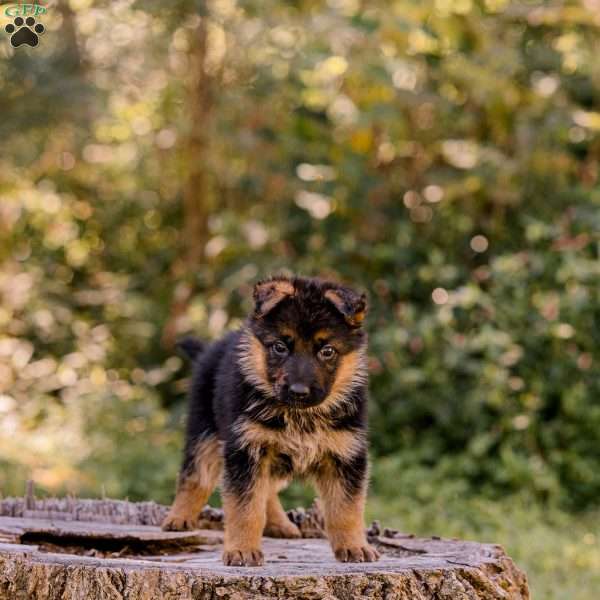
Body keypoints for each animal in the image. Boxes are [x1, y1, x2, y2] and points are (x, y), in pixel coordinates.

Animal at [163, 274, 380, 564]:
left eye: (327, 351)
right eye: (280, 347)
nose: (299, 392)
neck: (300, 416)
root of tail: (213, 347)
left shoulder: (345, 454)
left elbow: (346, 508)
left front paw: (355, 546)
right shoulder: (246, 451)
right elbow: (245, 508)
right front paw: (242, 549)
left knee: (267, 491)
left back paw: (279, 524)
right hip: (205, 431)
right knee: (195, 476)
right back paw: (179, 518)